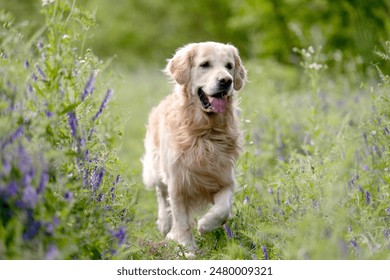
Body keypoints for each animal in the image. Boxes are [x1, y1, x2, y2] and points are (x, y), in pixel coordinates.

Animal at [142, 41, 247, 254]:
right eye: (205, 64)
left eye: (229, 66)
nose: (227, 81)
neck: (205, 133)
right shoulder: (177, 183)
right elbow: (181, 220)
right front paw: (186, 248)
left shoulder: (225, 179)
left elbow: (223, 209)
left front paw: (206, 225)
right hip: (156, 168)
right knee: (160, 193)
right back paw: (164, 223)